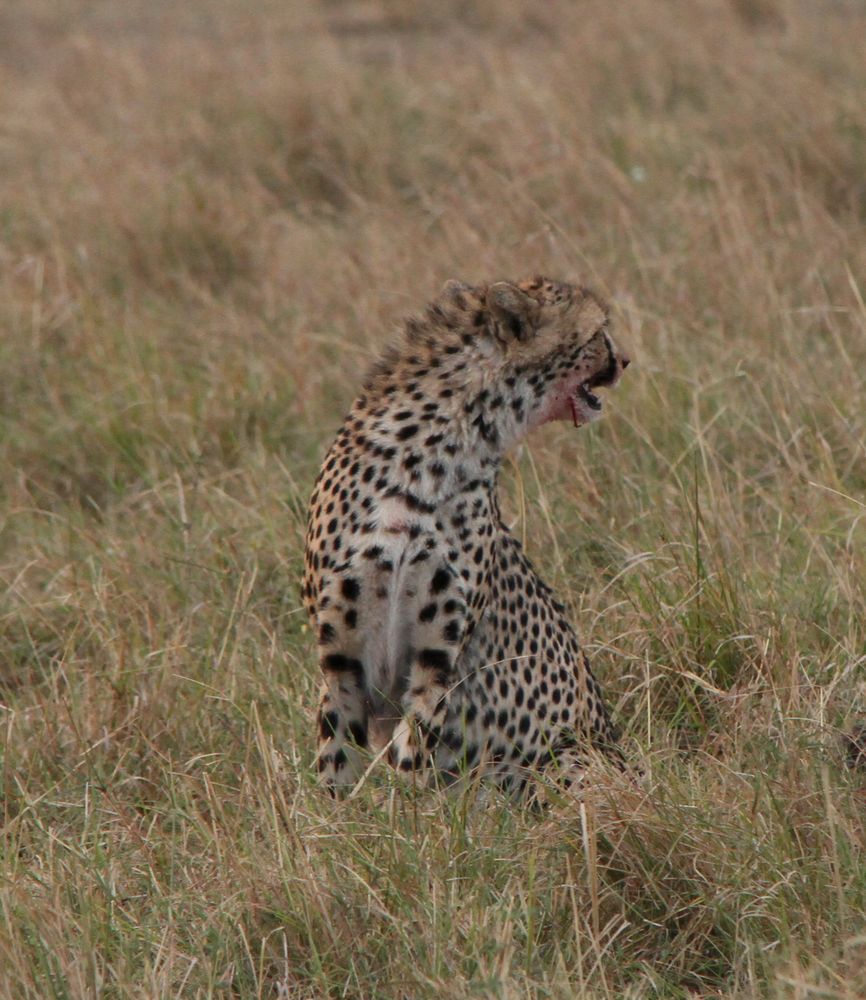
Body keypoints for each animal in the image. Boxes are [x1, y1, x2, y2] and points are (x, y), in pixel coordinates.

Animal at [302, 278, 628, 792]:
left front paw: (404, 811)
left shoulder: (438, 658)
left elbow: (412, 754)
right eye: (599, 333)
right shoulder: (341, 655)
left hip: (572, 758)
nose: (626, 360)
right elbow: (336, 761)